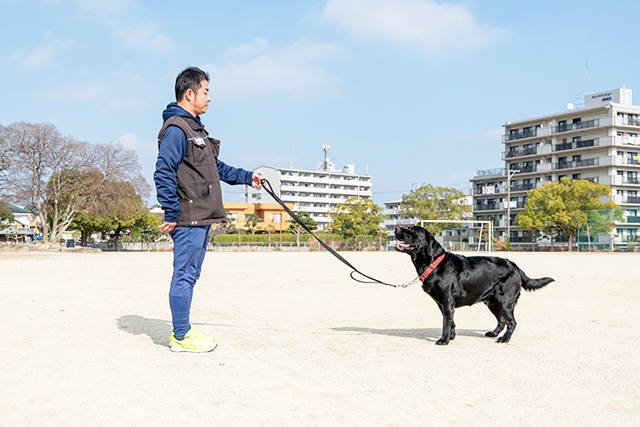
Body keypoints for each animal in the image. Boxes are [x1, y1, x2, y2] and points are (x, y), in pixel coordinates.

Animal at [392, 227, 552, 344]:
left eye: (412, 230)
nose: (396, 227)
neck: (433, 263)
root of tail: (515, 266)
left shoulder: (447, 302)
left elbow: (446, 323)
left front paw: (444, 340)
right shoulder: (443, 304)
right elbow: (451, 322)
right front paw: (451, 337)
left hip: (505, 301)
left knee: (512, 322)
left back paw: (504, 339)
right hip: (493, 302)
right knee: (502, 321)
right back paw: (493, 333)